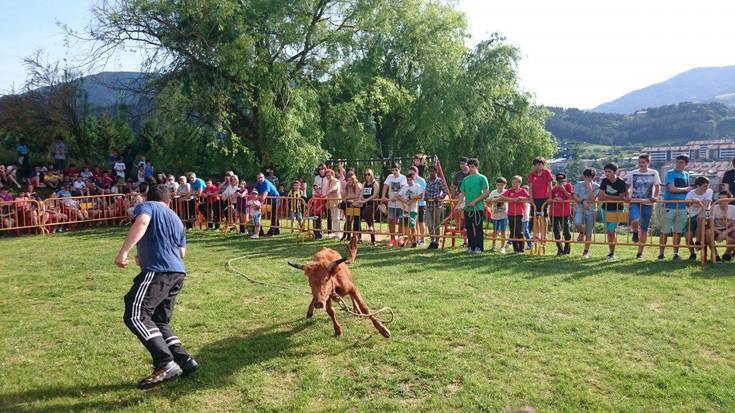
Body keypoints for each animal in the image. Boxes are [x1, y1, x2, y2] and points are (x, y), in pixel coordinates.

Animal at [227, 254, 396, 326]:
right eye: (309, 282)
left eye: (326, 279)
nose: (319, 304)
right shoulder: (326, 298)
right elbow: (331, 312)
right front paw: (337, 330)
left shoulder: (352, 288)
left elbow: (366, 308)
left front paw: (383, 330)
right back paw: (310, 310)